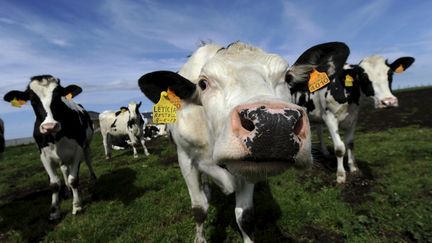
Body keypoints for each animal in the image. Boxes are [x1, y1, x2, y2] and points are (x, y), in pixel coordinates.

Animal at [2, 75, 96, 220]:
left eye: (58, 96)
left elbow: (74, 179)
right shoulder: (44, 156)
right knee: (64, 169)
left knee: (88, 161)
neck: (55, 137)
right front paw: (54, 211)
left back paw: (92, 179)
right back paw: (67, 191)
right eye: (32, 100)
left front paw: (77, 206)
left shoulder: (77, 150)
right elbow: (54, 184)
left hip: (86, 145)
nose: (49, 126)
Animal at [138, 40, 348, 242]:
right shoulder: (185, 159)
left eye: (288, 78)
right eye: (203, 84)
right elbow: (199, 209)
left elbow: (245, 217)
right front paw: (200, 238)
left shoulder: (249, 168)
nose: (274, 123)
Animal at [290, 46, 416, 183]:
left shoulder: (353, 118)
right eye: (363, 77)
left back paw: (324, 152)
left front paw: (353, 168)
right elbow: (339, 148)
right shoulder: (330, 117)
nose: (389, 101)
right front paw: (340, 175)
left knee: (318, 130)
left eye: (390, 74)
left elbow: (350, 143)